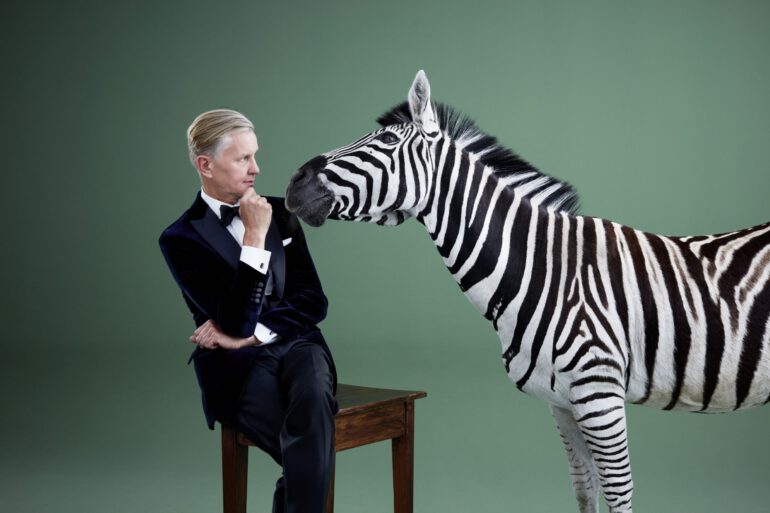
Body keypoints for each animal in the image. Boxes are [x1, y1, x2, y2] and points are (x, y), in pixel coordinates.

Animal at [284, 70, 770, 513]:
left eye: (385, 142)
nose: (293, 182)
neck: (546, 271)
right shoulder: (564, 403)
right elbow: (585, 491)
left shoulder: (600, 393)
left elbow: (619, 493)